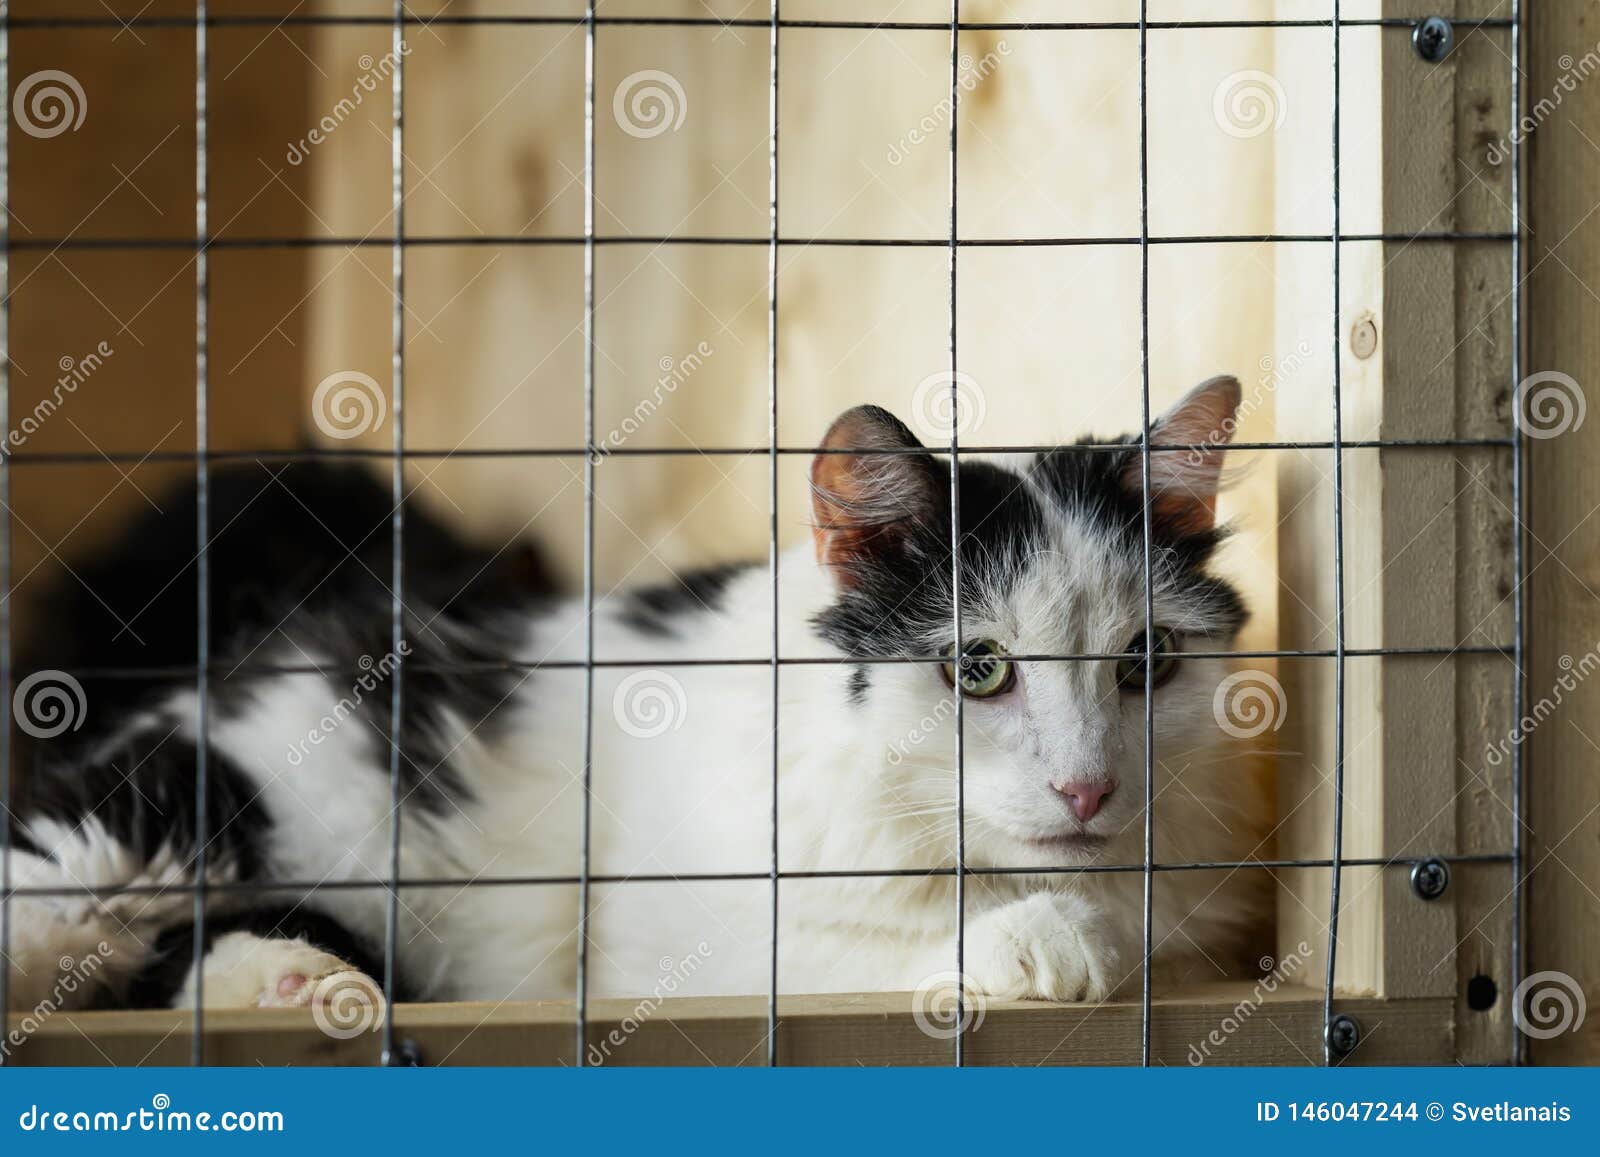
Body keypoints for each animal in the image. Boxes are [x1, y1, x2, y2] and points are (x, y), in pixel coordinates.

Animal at [6, 376, 1267, 1017]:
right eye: (979, 667)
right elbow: (848, 950)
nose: (1086, 787)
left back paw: (296, 981)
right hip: (171, 810)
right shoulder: (669, 949)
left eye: (1145, 662)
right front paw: (1040, 936)